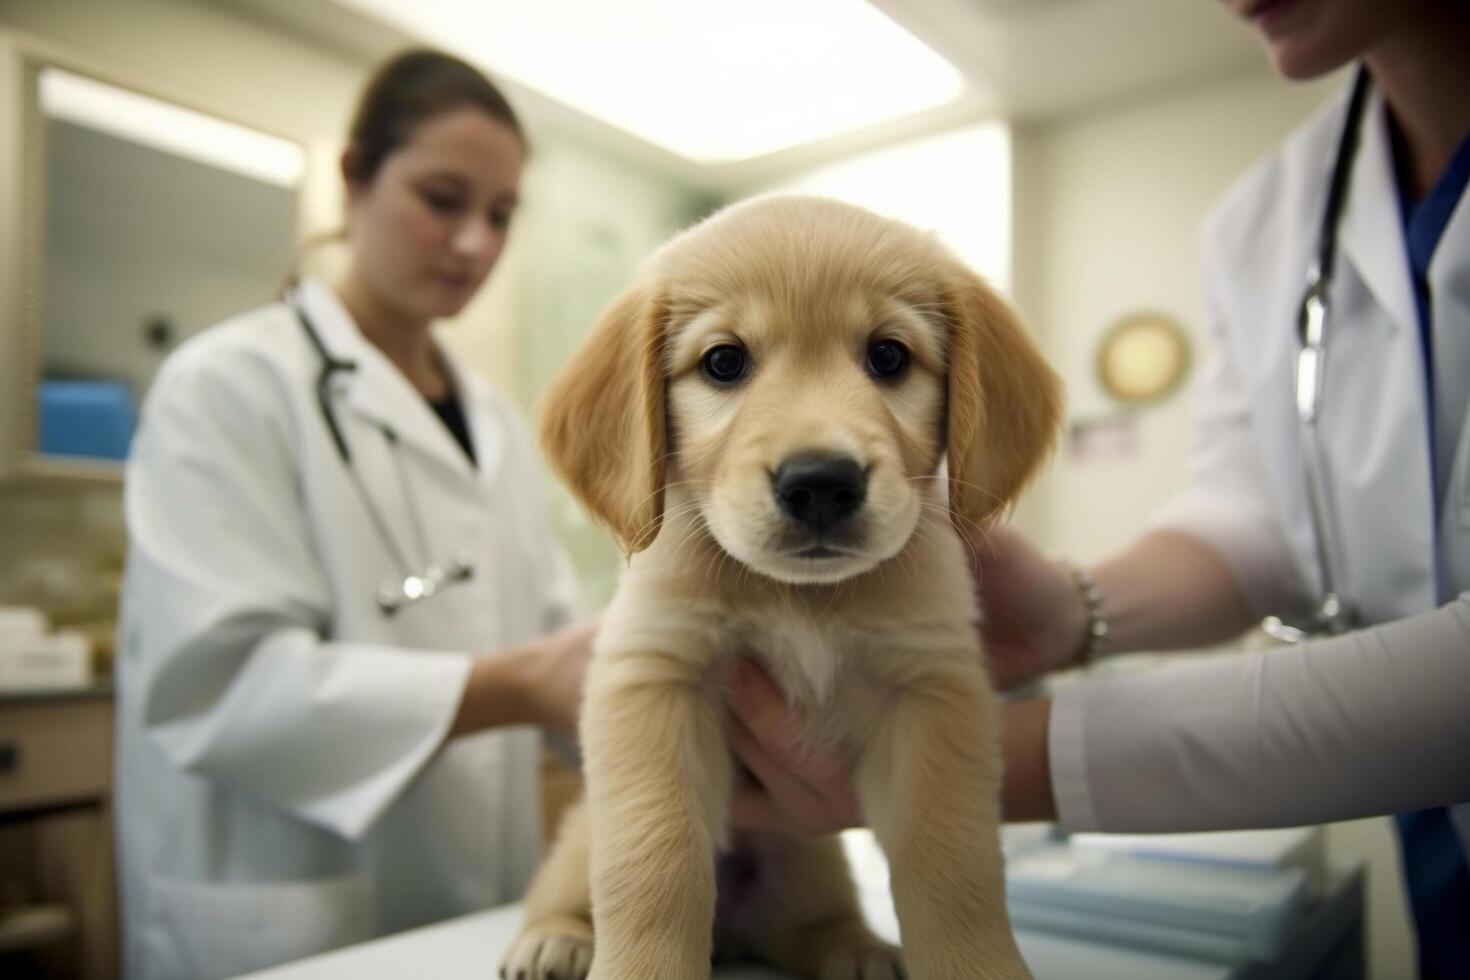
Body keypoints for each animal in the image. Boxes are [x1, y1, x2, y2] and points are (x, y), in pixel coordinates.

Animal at [505, 193, 1058, 980]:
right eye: (724, 362)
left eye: (888, 356)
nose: (821, 482)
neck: (801, 599)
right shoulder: (654, 681)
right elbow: (652, 862)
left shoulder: (932, 692)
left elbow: (955, 867)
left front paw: (977, 967)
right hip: (584, 827)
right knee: (565, 882)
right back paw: (556, 936)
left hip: (811, 855)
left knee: (811, 920)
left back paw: (854, 947)